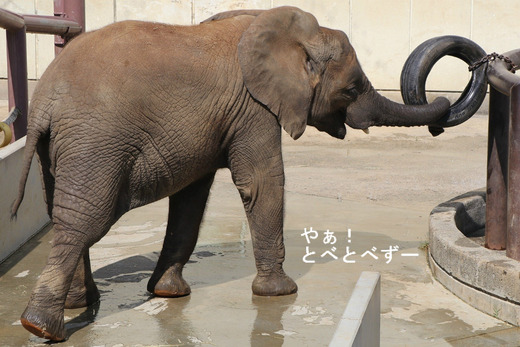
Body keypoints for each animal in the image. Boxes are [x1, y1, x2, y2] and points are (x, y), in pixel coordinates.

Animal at [12, 6, 450, 342]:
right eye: (353, 88)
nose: (442, 110)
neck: (292, 33)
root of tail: (44, 101)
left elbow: (191, 198)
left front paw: (169, 293)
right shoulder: (253, 108)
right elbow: (262, 182)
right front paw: (281, 292)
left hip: (63, 150)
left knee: (63, 214)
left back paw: (77, 305)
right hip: (96, 144)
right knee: (85, 219)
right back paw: (41, 327)